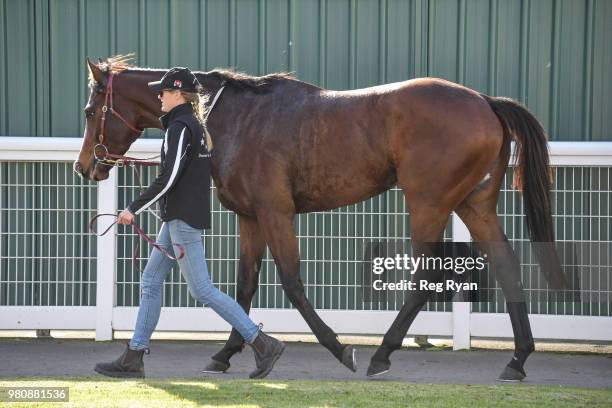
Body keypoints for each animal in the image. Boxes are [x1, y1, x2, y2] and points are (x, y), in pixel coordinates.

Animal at [77, 53, 568, 380]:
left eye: (89, 110)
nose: (86, 167)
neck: (233, 118)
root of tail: (485, 101)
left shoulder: (276, 213)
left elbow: (292, 283)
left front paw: (337, 350)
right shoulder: (250, 218)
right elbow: (244, 285)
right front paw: (228, 353)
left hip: (429, 202)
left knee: (425, 276)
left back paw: (381, 354)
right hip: (473, 203)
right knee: (506, 265)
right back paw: (518, 359)